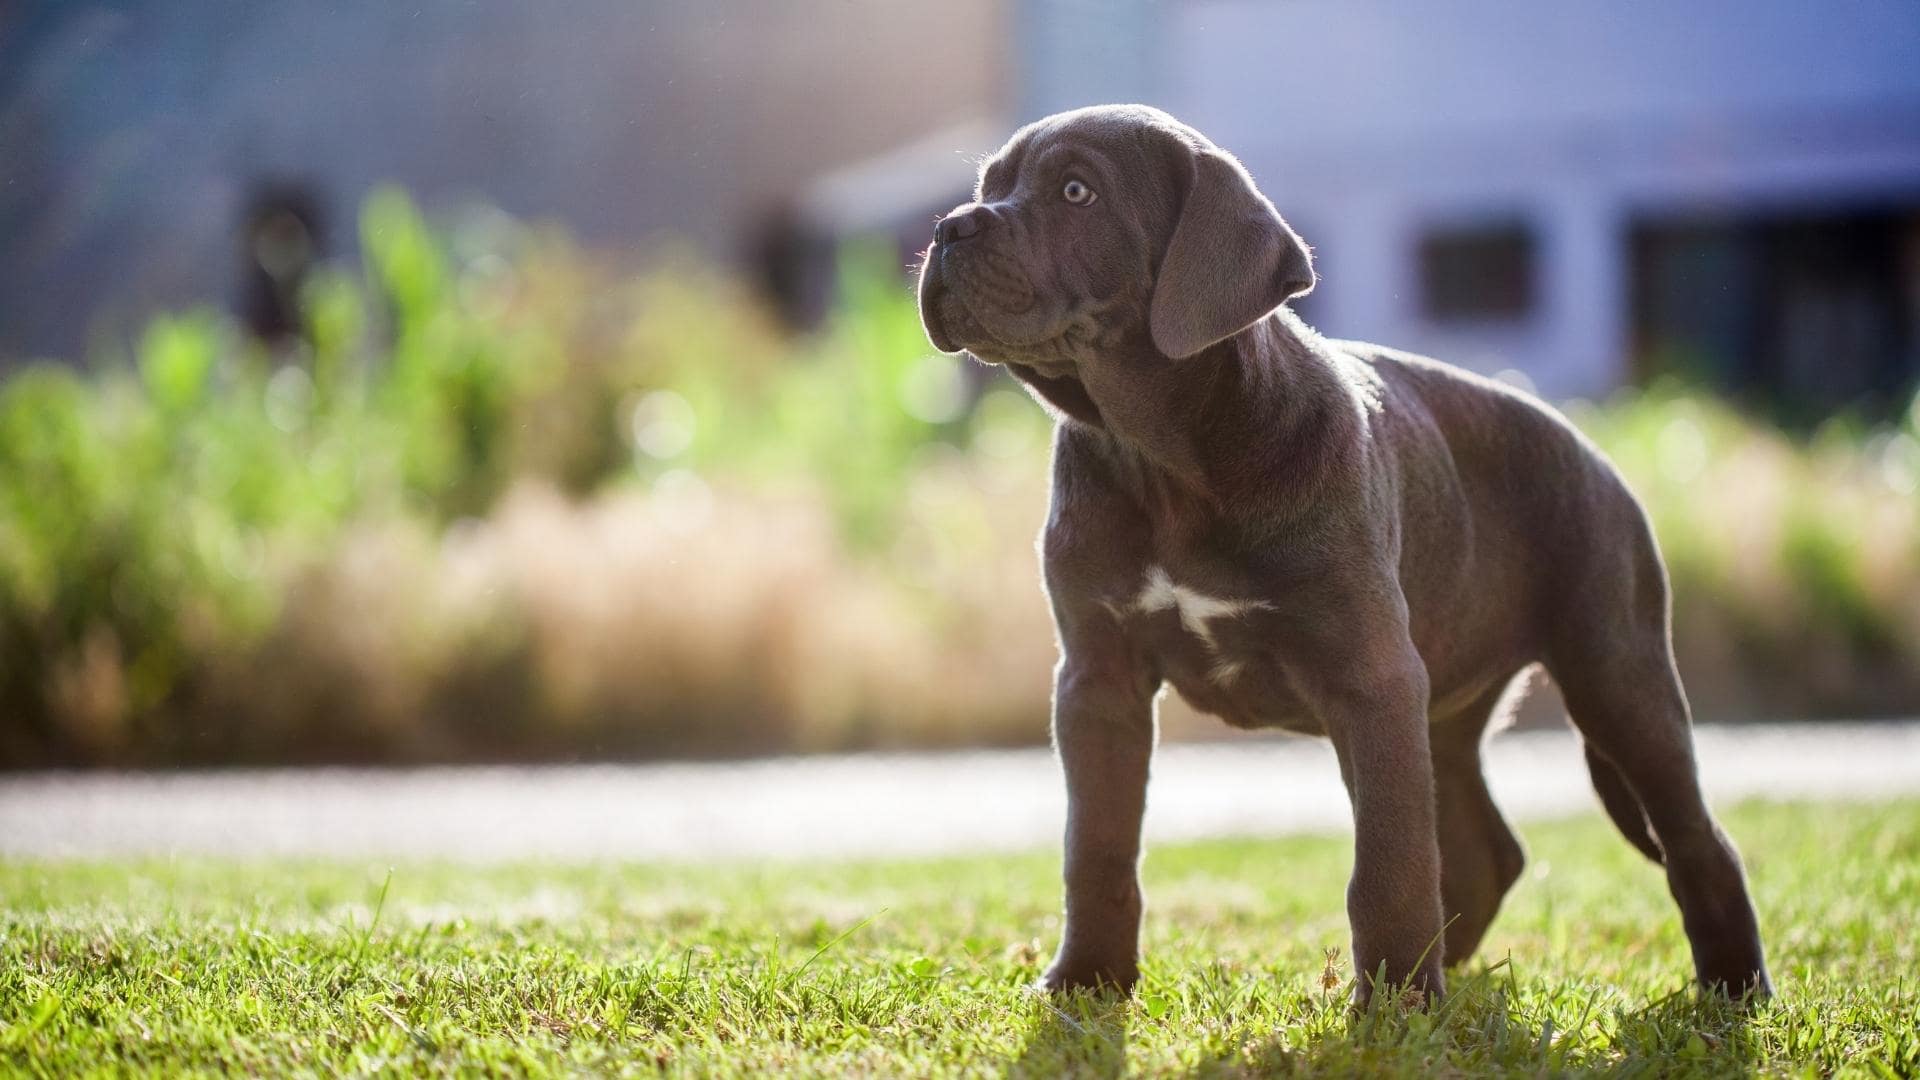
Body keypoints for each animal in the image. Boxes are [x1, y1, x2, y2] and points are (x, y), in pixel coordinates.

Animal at [913, 105, 1766, 1006]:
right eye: (988, 186)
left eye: (1078, 191)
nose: (949, 227)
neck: (1163, 457)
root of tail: (1595, 451)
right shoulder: (1097, 677)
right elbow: (1098, 845)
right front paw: (1085, 982)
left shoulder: (1370, 674)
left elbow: (1387, 861)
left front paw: (1391, 1005)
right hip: (1444, 703)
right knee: (1483, 848)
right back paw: (1443, 976)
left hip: (1614, 671)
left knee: (1695, 839)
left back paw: (1729, 990)